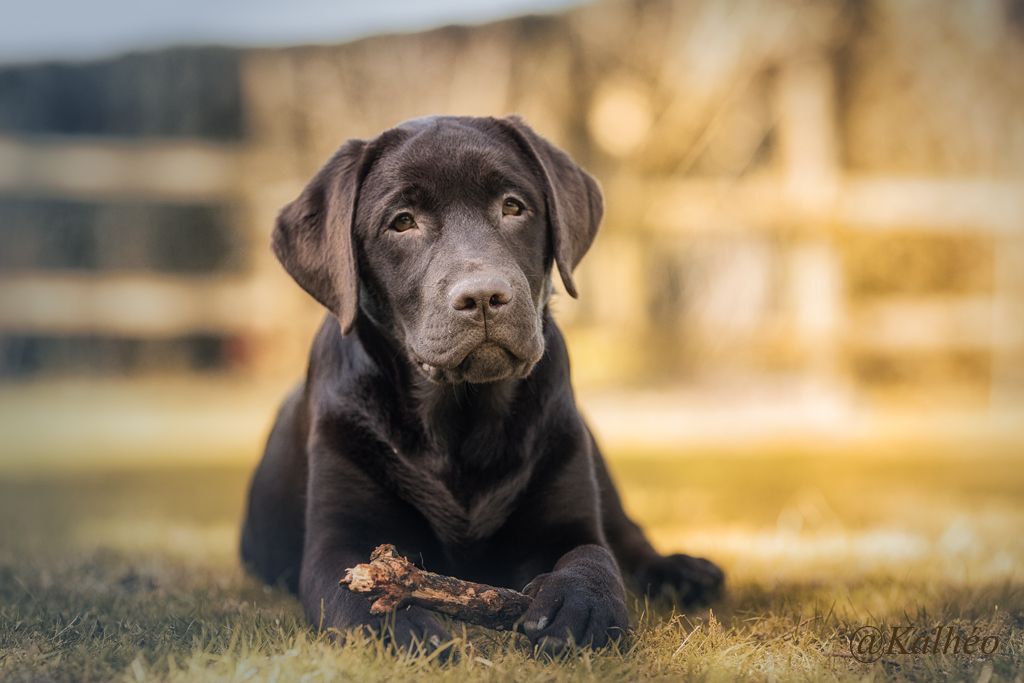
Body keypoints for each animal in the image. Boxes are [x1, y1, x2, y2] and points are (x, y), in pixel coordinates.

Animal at [239, 114, 724, 655]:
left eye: (513, 206)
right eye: (401, 221)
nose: (485, 297)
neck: (461, 420)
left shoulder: (568, 521)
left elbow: (593, 558)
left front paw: (581, 607)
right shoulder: (339, 539)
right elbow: (357, 595)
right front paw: (406, 631)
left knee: (629, 537)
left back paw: (682, 571)